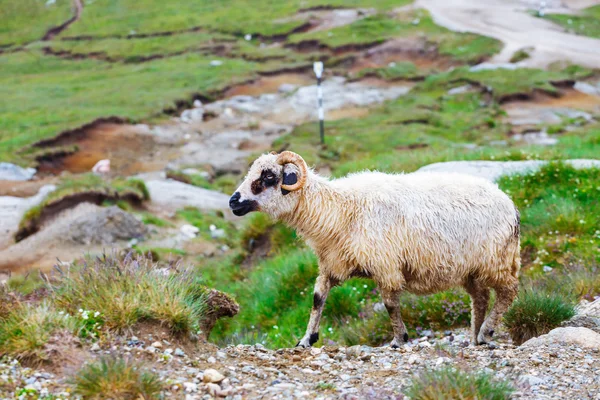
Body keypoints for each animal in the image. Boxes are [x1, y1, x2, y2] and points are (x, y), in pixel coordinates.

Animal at [230, 150, 520, 346]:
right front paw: (306, 339)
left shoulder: (385, 265)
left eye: (268, 176)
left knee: (508, 292)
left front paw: (399, 339)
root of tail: (510, 203)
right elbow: (317, 298)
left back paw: (486, 332)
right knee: (480, 298)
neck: (339, 210)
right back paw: (475, 337)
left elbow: (390, 304)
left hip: (496, 260)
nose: (233, 201)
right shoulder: (331, 264)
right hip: (471, 269)